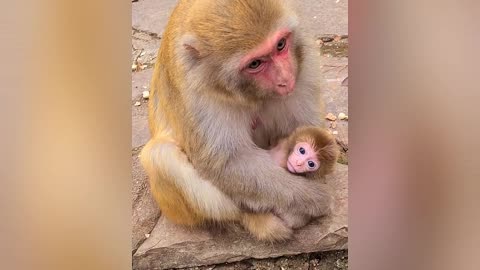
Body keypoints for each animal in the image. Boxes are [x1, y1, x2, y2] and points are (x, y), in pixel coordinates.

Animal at [141, 0, 332, 240]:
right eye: (255, 64)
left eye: (280, 45)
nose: (286, 78)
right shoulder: (196, 93)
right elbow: (229, 162)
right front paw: (312, 199)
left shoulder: (302, 56)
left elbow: (306, 126)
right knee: (161, 155)